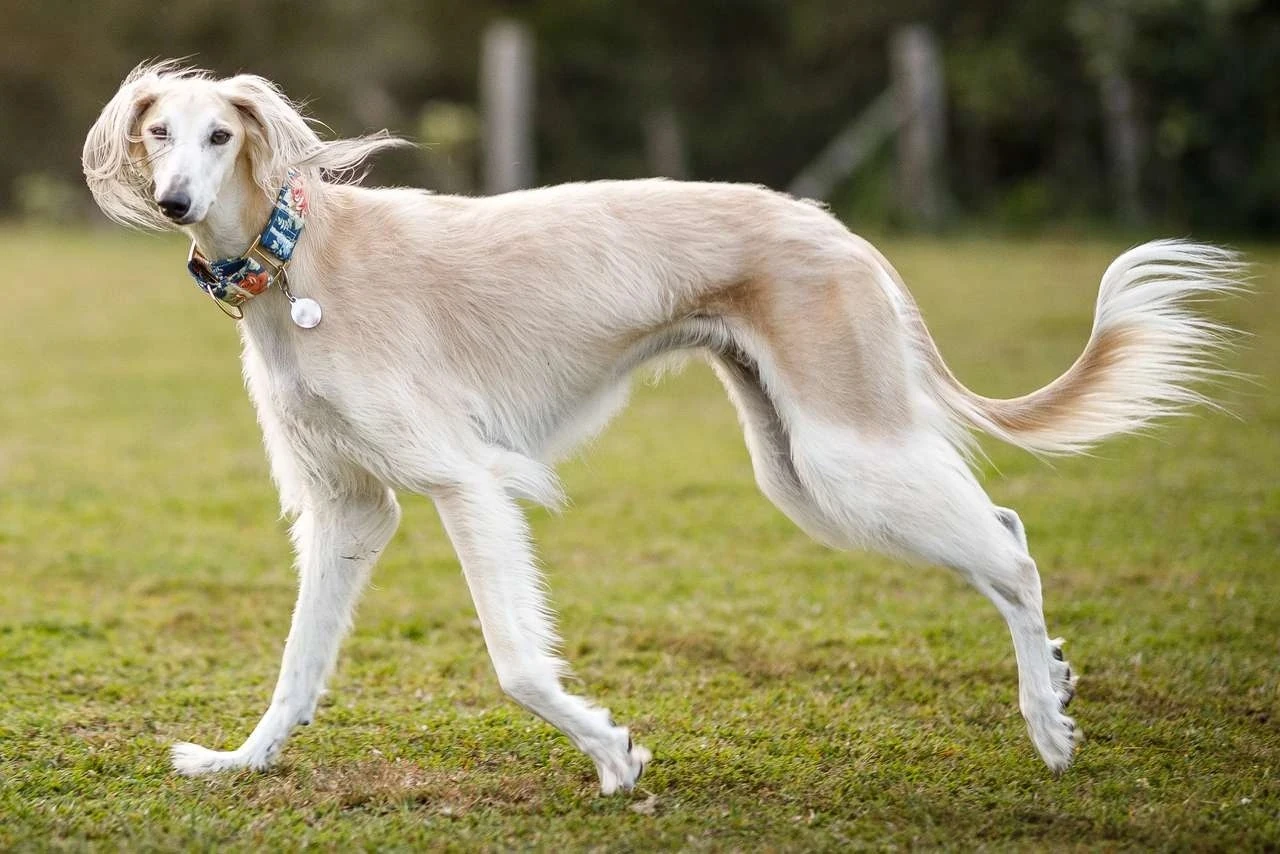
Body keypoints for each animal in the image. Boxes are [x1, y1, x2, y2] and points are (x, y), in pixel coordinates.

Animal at [80, 61, 1239, 793]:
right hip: (797, 469)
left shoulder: (462, 478)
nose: (177, 203)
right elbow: (298, 666)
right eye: (158, 132)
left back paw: (1047, 722)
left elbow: (515, 662)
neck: (296, 260)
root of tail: (839, 229)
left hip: (844, 453)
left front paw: (612, 752)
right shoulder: (347, 509)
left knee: (1009, 545)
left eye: (221, 134)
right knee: (999, 527)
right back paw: (1053, 686)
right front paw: (240, 762)